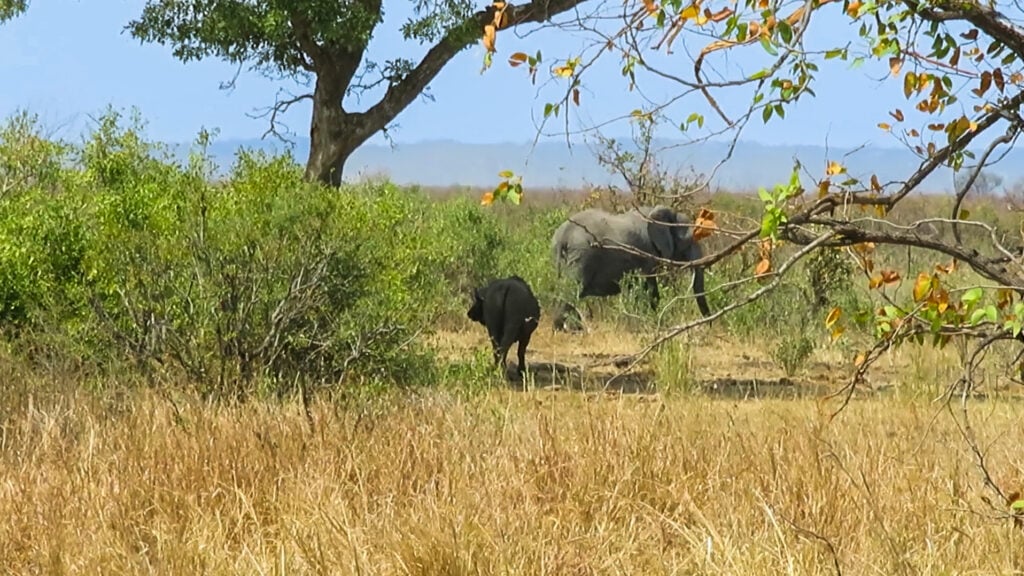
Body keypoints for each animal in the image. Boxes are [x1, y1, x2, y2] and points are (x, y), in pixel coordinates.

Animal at [549, 205, 711, 330]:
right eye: (690, 240)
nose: (709, 326)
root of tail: (563, 235)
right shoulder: (647, 253)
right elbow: (650, 290)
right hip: (582, 255)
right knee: (572, 291)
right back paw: (567, 330)